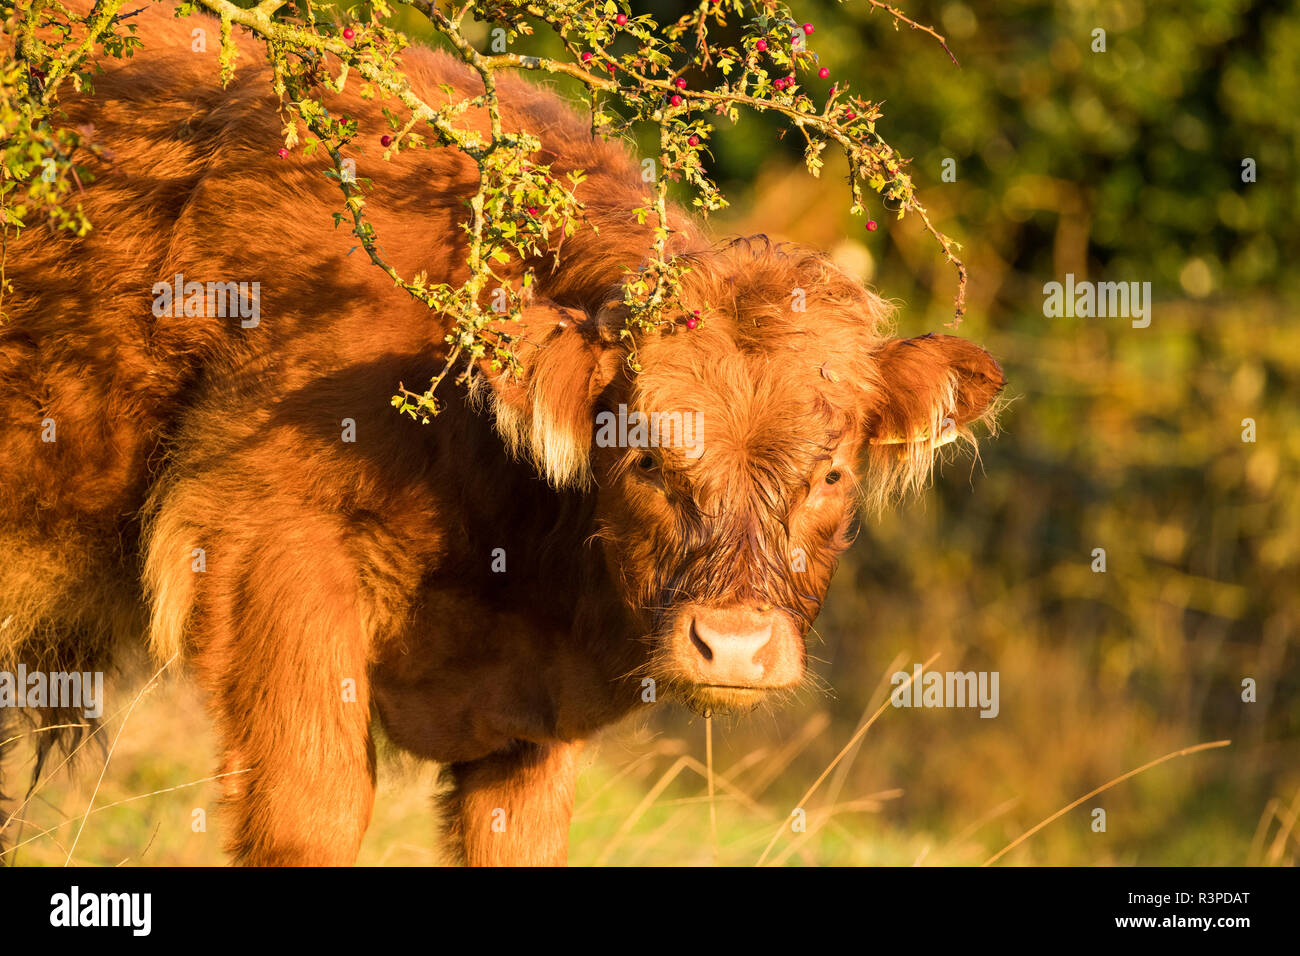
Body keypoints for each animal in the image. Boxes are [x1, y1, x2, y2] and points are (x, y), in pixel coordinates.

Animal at [0, 1, 1003, 868]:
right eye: (644, 455)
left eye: (832, 475)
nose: (735, 644)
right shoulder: (263, 546)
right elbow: (313, 813)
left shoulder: (527, 719)